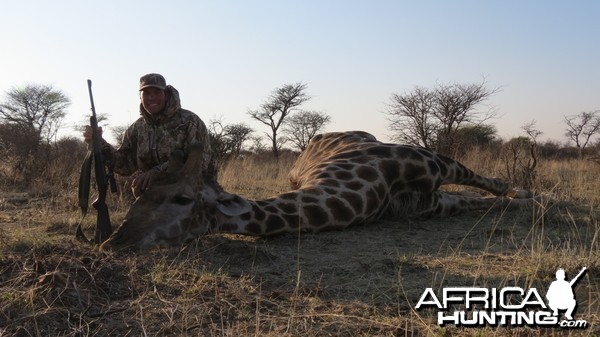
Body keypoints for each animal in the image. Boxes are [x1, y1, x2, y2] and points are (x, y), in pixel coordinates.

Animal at [99, 131, 536, 249]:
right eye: (137, 197)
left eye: (182, 198)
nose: (115, 242)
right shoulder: (421, 205)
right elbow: (468, 201)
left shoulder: (433, 163)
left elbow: (487, 184)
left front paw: (526, 196)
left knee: (484, 179)